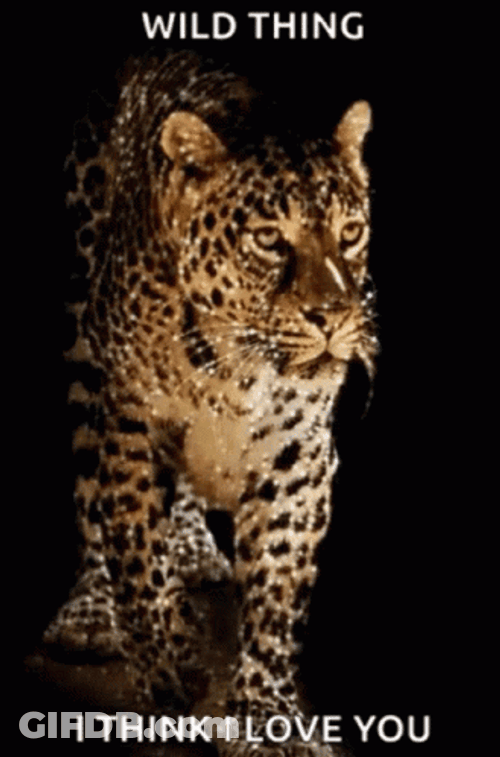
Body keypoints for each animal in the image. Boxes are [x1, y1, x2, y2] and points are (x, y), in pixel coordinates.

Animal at [42, 51, 377, 756]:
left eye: (352, 231)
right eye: (270, 239)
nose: (335, 317)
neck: (232, 365)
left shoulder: (298, 453)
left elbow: (278, 590)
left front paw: (268, 714)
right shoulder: (130, 426)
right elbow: (137, 556)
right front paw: (170, 672)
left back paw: (195, 550)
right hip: (83, 343)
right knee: (92, 501)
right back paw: (92, 610)